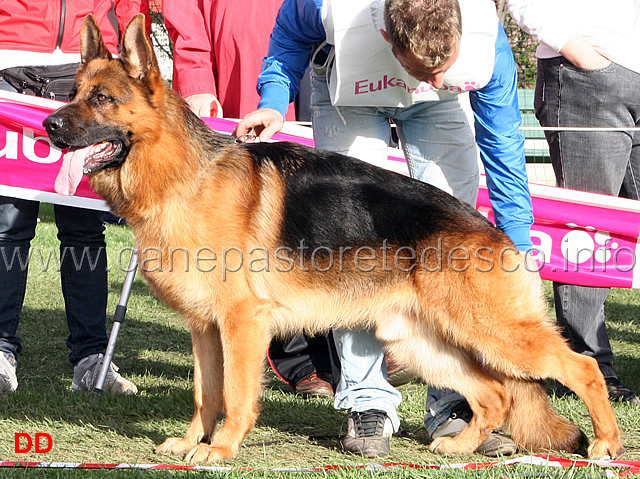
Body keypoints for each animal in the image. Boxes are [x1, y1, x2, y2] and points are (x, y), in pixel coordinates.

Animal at [46, 15, 624, 464]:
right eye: (72, 95)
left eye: (102, 98)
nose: (49, 126)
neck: (181, 174)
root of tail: (494, 230)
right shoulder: (205, 329)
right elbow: (204, 394)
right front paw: (192, 443)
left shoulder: (241, 325)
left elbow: (233, 394)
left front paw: (222, 448)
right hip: (423, 343)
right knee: (496, 394)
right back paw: (460, 448)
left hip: (494, 333)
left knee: (582, 368)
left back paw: (606, 444)